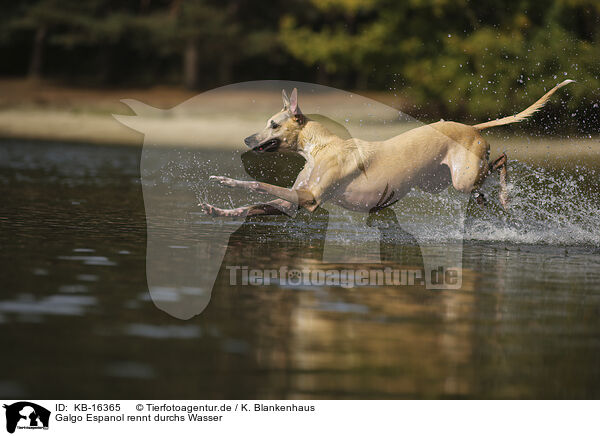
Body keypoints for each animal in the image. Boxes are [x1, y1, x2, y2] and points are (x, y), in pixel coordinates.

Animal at [200, 79, 572, 217]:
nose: (247, 140)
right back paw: (489, 198)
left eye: (273, 124)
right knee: (491, 171)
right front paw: (218, 210)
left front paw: (225, 181)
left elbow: (257, 185)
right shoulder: (294, 199)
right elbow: (254, 205)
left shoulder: (310, 198)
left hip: (462, 177)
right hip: (438, 180)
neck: (321, 146)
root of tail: (471, 127)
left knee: (503, 159)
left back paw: (505, 197)